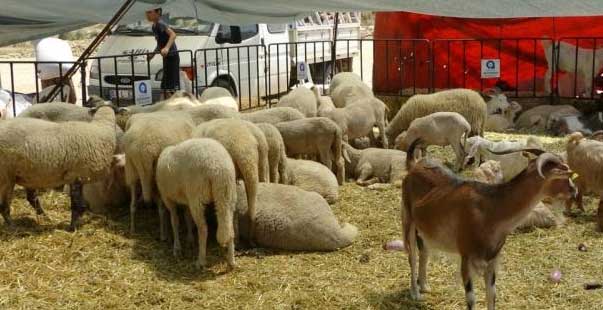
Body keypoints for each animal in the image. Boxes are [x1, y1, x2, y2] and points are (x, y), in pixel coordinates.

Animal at [123, 111, 196, 240]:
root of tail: (143, 150)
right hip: (158, 176)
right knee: (161, 209)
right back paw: (163, 234)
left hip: (131, 167)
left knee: (133, 202)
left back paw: (132, 229)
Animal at [157, 138, 237, 268]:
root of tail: (218, 168)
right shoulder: (186, 200)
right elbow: (187, 217)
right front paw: (189, 240)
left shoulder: (168, 199)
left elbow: (175, 221)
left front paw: (177, 248)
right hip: (228, 194)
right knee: (229, 226)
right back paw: (231, 261)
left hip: (197, 195)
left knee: (203, 229)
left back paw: (201, 261)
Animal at [402, 139, 576, 310]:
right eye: (564, 175)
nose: (574, 191)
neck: (491, 210)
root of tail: (414, 165)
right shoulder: (466, 257)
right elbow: (471, 299)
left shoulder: (492, 259)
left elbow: (492, 295)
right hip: (408, 220)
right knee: (412, 256)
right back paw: (415, 293)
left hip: (423, 230)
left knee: (424, 251)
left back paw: (424, 286)